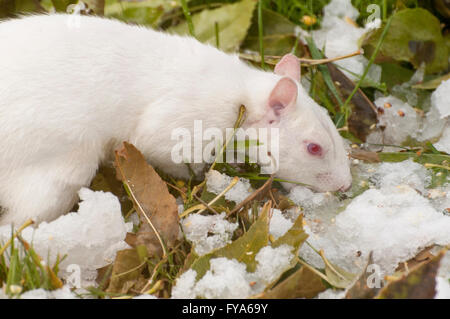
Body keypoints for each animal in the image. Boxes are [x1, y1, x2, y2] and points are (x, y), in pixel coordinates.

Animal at [0, 14, 352, 225]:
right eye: (314, 148)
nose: (346, 186)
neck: (243, 95)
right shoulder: (184, 123)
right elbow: (165, 151)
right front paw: (206, 175)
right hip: (54, 171)